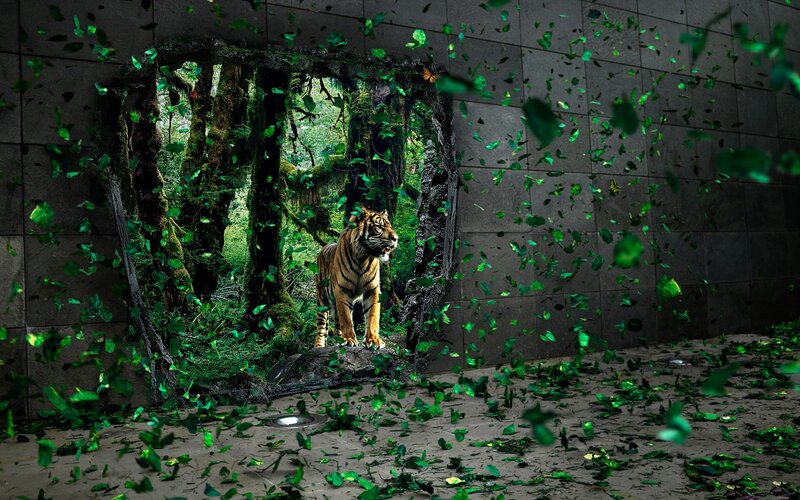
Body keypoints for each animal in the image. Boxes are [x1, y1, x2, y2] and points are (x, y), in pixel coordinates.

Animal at [314, 207, 398, 349]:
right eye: (379, 227)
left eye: (390, 226)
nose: (396, 238)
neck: (363, 257)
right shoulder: (342, 290)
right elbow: (346, 318)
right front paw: (349, 339)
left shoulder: (372, 290)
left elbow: (372, 316)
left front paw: (373, 340)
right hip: (322, 301)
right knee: (321, 328)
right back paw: (319, 346)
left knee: (337, 323)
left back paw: (338, 339)